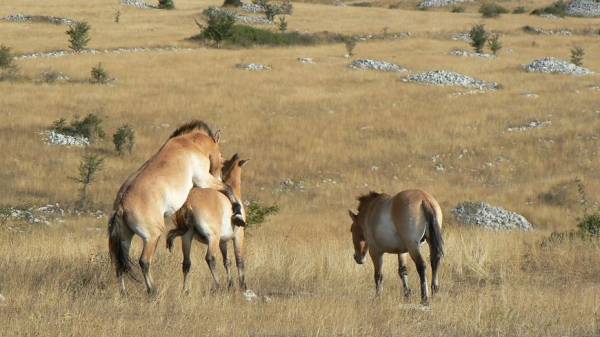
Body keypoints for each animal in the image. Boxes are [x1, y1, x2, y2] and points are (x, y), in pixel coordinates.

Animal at [165, 153, 247, 292]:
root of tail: (189, 203)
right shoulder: (238, 236)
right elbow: (239, 260)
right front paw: (242, 286)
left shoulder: (223, 242)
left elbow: (227, 261)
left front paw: (230, 284)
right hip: (212, 238)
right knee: (210, 259)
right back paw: (218, 286)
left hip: (187, 237)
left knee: (186, 263)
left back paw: (185, 290)